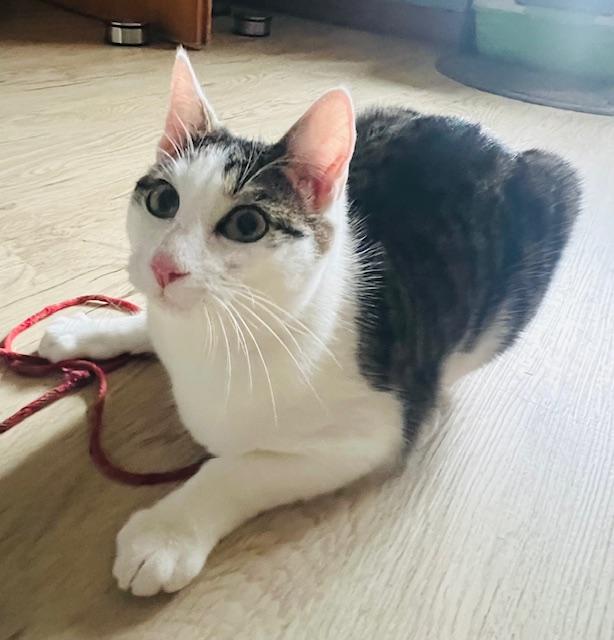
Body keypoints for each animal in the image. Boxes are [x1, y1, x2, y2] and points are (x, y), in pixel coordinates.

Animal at [38, 47, 580, 596]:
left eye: (247, 225)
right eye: (163, 201)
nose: (164, 266)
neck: (216, 335)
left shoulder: (377, 432)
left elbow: (240, 469)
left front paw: (166, 535)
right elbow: (151, 320)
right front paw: (87, 329)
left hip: (548, 204)